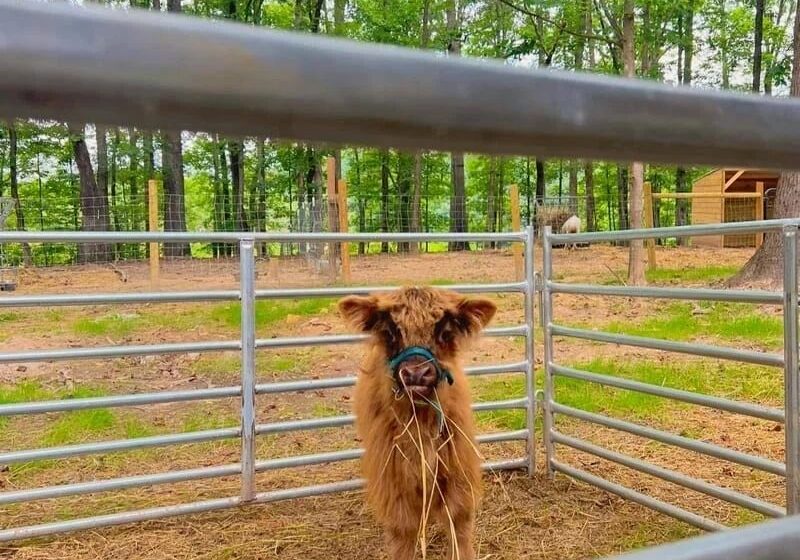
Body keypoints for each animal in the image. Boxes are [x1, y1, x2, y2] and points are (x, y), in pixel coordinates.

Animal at [336, 288, 494, 560]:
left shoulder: (456, 470)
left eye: (444, 332)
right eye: (391, 332)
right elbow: (403, 531)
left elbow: (458, 523)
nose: (416, 374)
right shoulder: (395, 481)